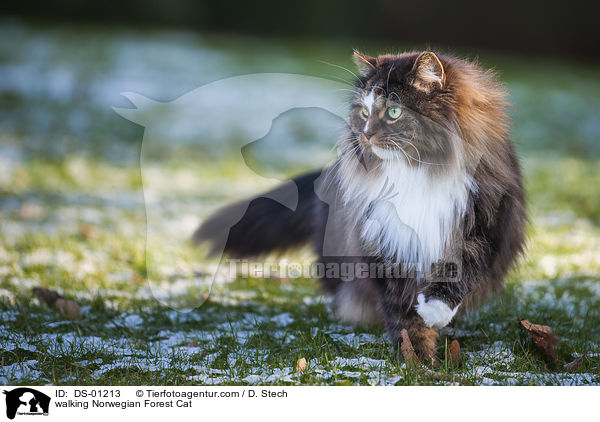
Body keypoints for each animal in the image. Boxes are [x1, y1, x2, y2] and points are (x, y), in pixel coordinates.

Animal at [193, 50, 524, 362]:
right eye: (364, 112)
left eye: (393, 111)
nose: (365, 134)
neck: (416, 173)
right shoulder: (384, 245)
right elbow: (403, 314)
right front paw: (415, 357)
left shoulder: (485, 223)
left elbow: (461, 272)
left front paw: (433, 313)